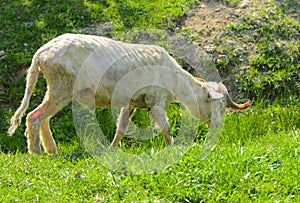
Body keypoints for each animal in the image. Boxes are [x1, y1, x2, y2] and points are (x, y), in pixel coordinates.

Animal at [7, 33, 251, 155]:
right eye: (216, 106)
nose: (217, 127)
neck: (175, 80)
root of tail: (40, 53)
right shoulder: (156, 101)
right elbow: (165, 127)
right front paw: (172, 150)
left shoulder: (132, 103)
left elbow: (121, 129)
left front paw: (112, 151)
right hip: (61, 85)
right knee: (34, 117)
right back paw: (37, 154)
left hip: (58, 88)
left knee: (43, 118)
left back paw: (52, 151)